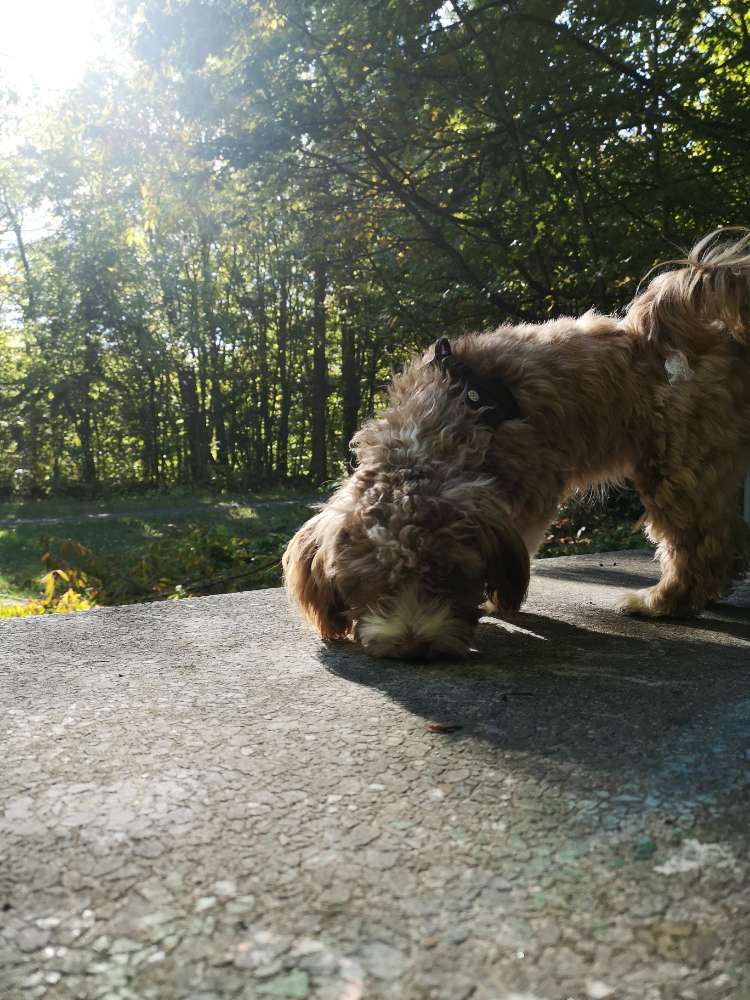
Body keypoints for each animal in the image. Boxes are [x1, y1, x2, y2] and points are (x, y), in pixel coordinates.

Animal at [284, 230, 750, 660]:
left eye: (447, 575)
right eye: (372, 584)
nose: (415, 647)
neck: (446, 419)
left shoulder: (532, 487)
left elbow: (522, 540)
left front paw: (498, 600)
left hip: (677, 464)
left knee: (695, 542)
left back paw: (664, 601)